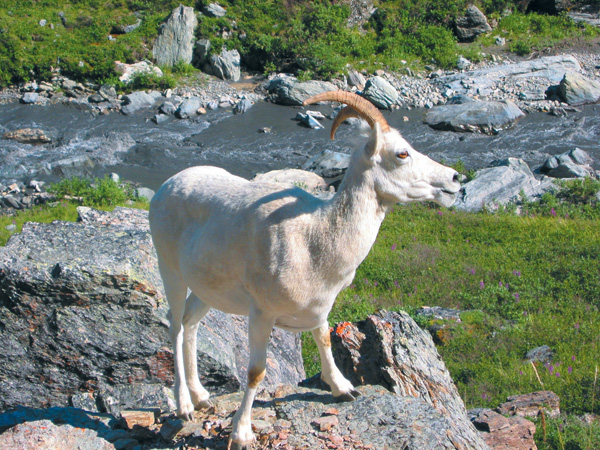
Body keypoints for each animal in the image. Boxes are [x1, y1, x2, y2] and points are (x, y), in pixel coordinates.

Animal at [149, 89, 460, 448]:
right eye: (402, 153)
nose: (454, 179)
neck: (315, 240)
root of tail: (167, 186)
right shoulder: (261, 314)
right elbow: (256, 372)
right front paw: (241, 433)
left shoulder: (319, 308)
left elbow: (324, 340)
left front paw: (343, 390)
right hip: (170, 272)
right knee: (175, 326)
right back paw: (185, 407)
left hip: (206, 291)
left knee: (191, 325)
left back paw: (202, 398)